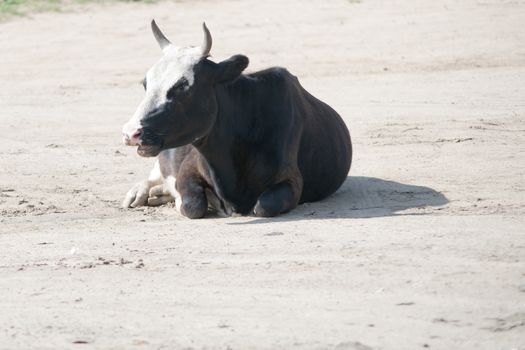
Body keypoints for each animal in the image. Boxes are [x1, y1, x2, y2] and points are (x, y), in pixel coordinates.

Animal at [122, 20, 352, 217]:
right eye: (145, 83)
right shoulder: (188, 169)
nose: (131, 132)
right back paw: (140, 193)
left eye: (181, 86)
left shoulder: (291, 180)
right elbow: (192, 205)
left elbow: (263, 207)